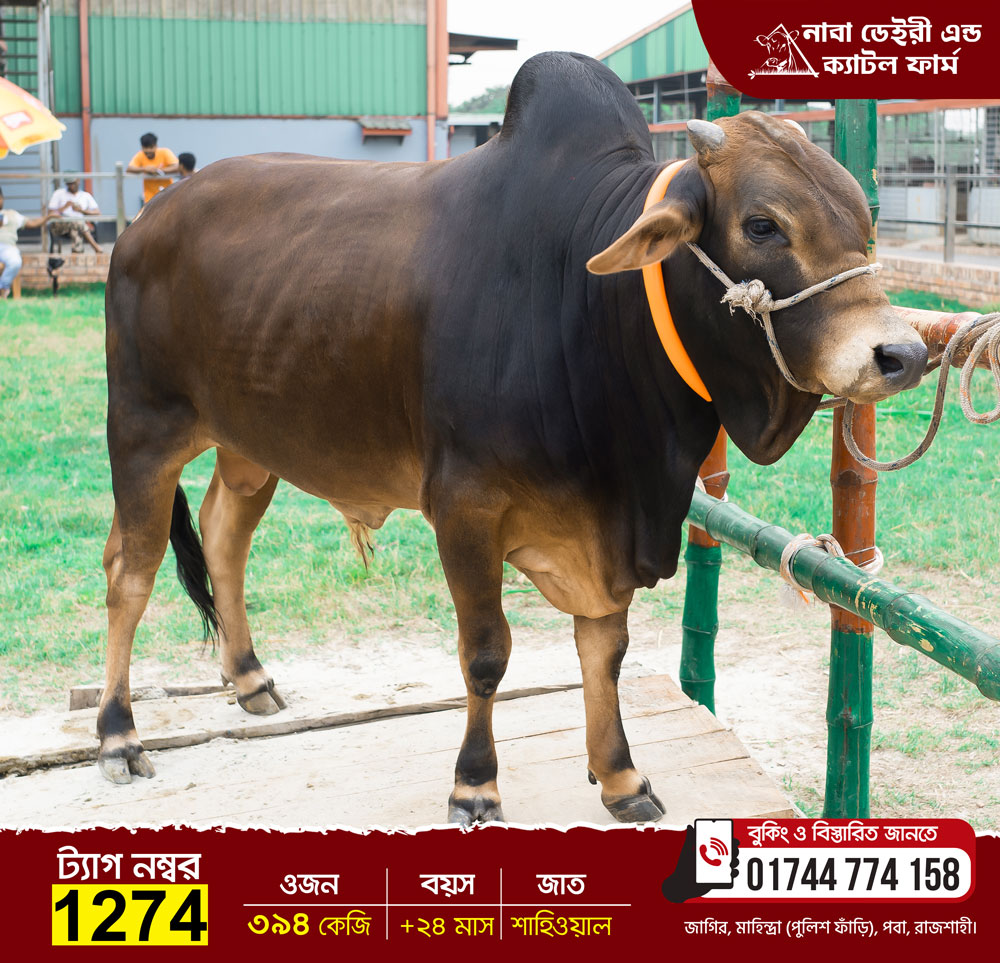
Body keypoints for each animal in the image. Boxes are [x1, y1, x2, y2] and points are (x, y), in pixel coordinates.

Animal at [99, 52, 926, 823]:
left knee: (223, 535)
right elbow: (487, 653)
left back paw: (248, 676)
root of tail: (147, 222)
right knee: (128, 573)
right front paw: (475, 784)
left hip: (249, 444)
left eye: (862, 219)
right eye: (763, 224)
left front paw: (621, 776)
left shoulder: (608, 532)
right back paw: (117, 733)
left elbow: (606, 648)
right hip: (142, 427)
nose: (902, 354)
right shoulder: (466, 507)